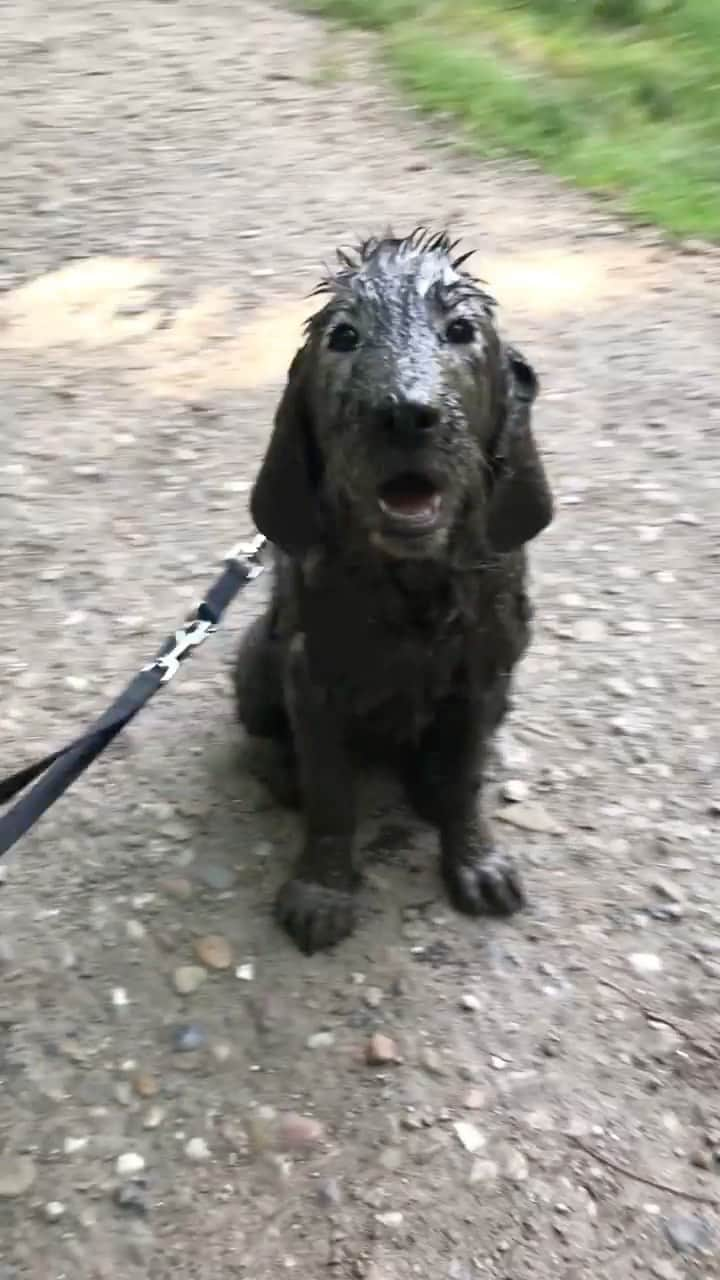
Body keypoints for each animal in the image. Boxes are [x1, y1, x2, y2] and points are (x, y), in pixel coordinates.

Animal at [233, 230, 550, 952]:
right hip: (254, 657)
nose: (406, 415)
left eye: (460, 331)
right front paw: (322, 889)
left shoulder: (486, 673)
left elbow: (467, 776)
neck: (414, 581)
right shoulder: (312, 676)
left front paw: (475, 859)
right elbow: (330, 793)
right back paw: (281, 771)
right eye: (344, 337)